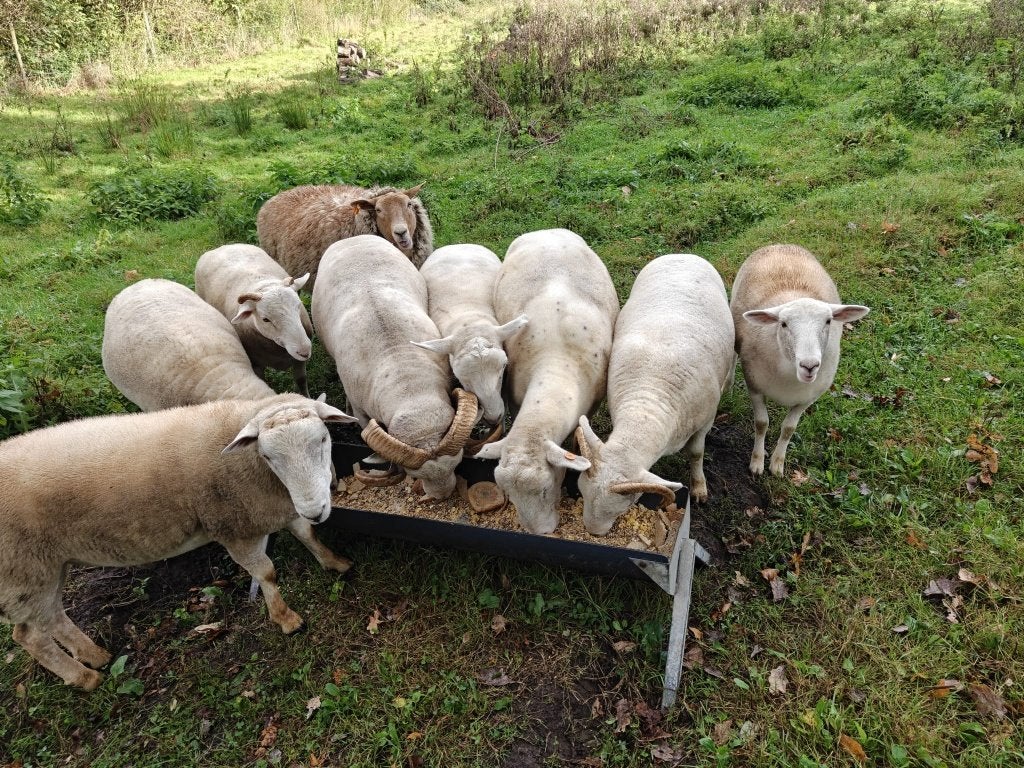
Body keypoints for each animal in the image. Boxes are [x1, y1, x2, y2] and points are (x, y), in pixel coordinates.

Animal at [0, 394, 357, 690]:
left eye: (323, 438)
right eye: (267, 456)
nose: (316, 510)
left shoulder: (282, 506)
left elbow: (307, 534)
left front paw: (335, 562)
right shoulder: (233, 529)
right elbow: (266, 573)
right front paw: (285, 618)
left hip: (48, 565)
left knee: (54, 618)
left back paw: (95, 655)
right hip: (22, 573)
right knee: (30, 635)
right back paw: (84, 677)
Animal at [195, 243, 314, 397]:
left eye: (298, 306)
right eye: (265, 319)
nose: (304, 351)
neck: (263, 285)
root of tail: (223, 246)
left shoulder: (298, 362)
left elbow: (301, 381)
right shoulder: (256, 364)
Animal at [473, 229, 618, 534]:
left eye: (544, 489)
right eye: (509, 495)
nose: (540, 532)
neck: (556, 369)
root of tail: (547, 230)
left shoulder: (591, 405)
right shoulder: (515, 399)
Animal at [575, 254, 735, 535]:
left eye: (623, 506)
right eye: (581, 492)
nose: (593, 532)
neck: (647, 403)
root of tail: (682, 255)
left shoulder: (704, 420)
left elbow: (697, 453)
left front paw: (699, 488)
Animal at [730, 244, 870, 477]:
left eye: (828, 321)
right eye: (783, 324)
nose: (809, 365)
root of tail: (780, 244)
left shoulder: (806, 399)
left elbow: (788, 429)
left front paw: (777, 464)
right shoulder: (755, 386)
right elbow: (761, 423)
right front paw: (757, 462)